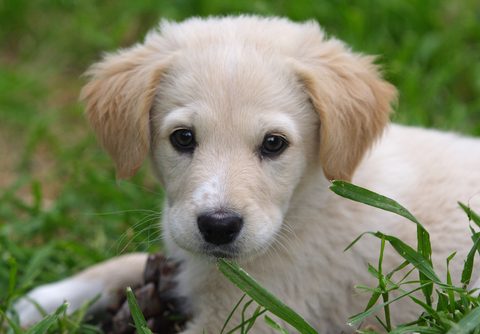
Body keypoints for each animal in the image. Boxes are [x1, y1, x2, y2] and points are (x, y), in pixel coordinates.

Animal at [15, 16, 480, 334]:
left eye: (274, 144)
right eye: (183, 138)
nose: (218, 227)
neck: (308, 204)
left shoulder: (251, 314)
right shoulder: (183, 251)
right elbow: (121, 264)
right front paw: (39, 302)